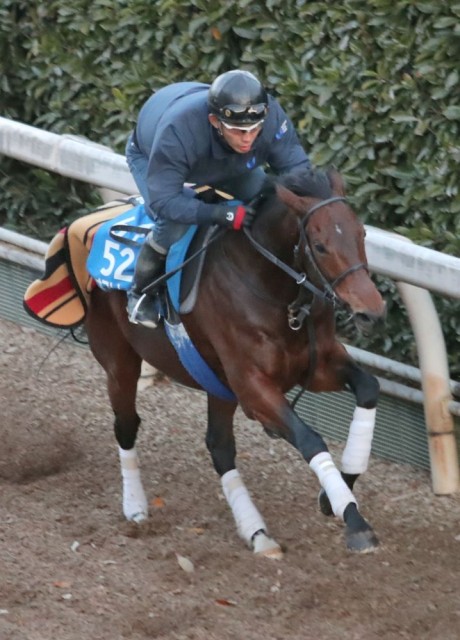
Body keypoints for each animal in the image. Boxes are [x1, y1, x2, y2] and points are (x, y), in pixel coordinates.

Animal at [83, 168, 388, 556]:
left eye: (361, 234)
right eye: (320, 246)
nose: (372, 312)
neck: (275, 293)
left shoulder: (315, 364)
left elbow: (368, 387)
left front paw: (341, 486)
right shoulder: (252, 386)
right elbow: (310, 439)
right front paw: (353, 518)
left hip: (217, 383)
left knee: (219, 446)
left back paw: (257, 532)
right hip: (119, 361)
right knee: (126, 425)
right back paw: (135, 506)